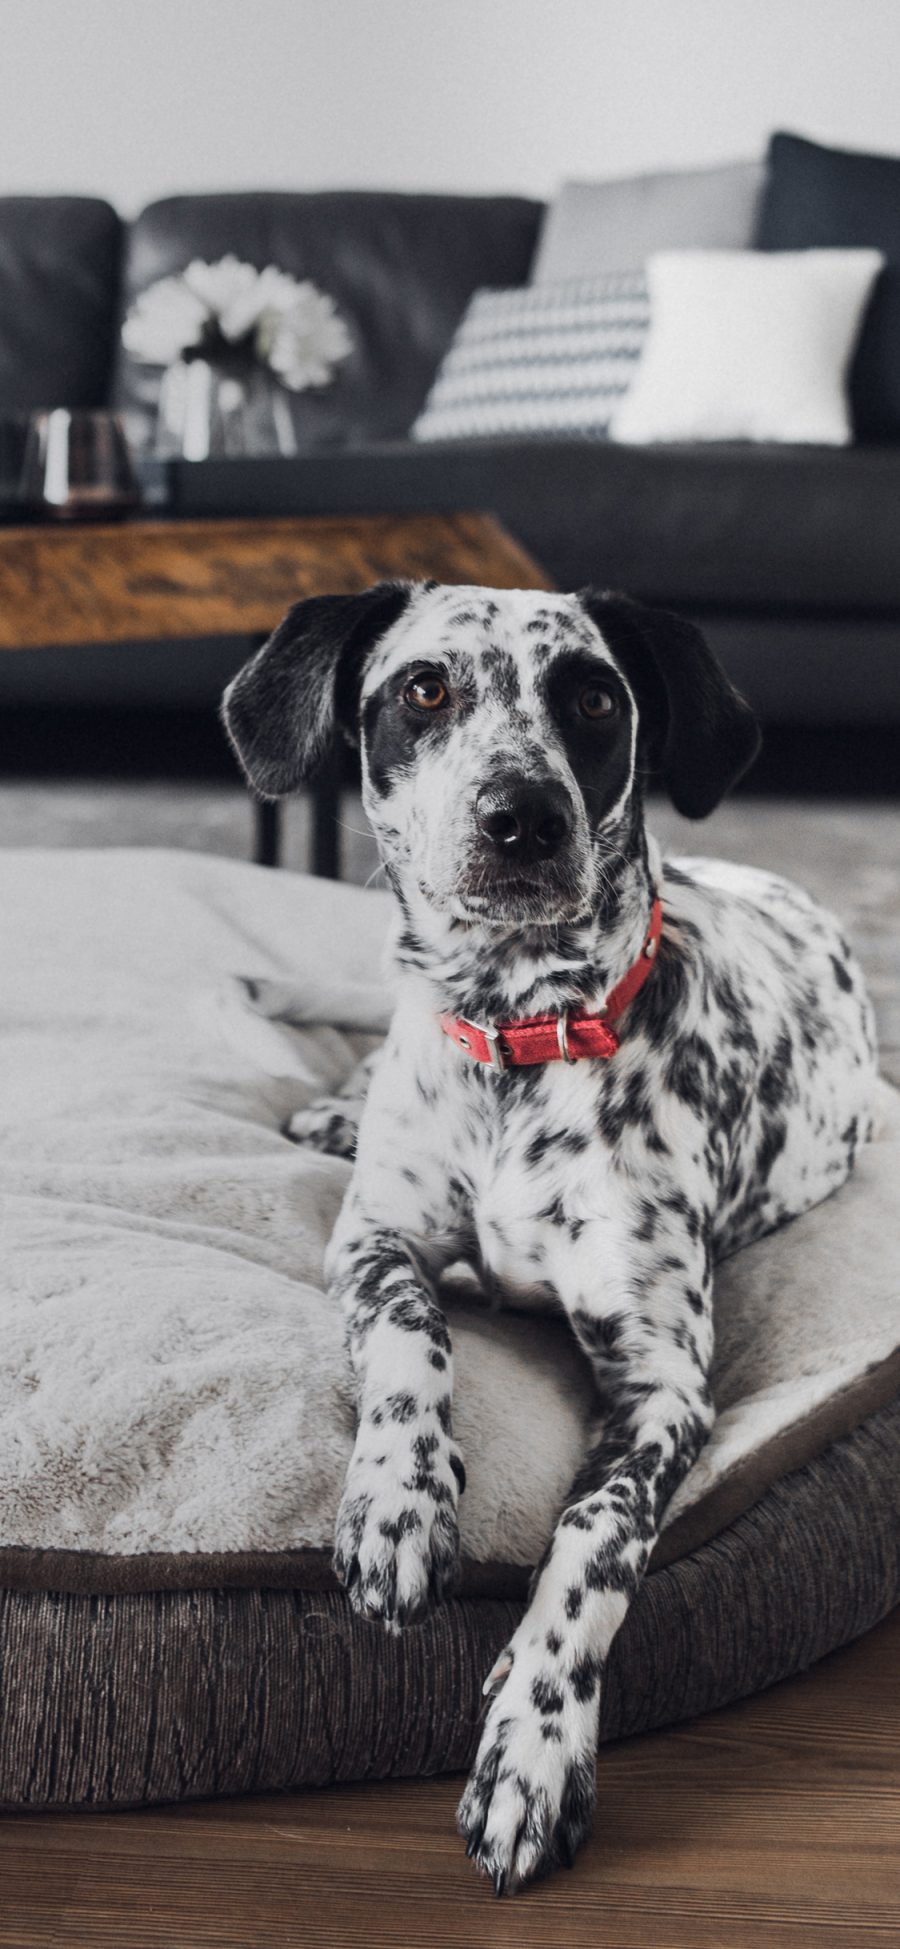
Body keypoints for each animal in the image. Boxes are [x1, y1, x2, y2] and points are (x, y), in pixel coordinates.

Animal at [221, 576, 876, 1886]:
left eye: (595, 698)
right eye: (426, 688)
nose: (521, 815)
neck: (515, 1034)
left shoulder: (664, 1386)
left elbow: (594, 1539)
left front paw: (532, 1743)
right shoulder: (371, 1245)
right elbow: (411, 1335)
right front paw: (399, 1502)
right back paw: (331, 1105)